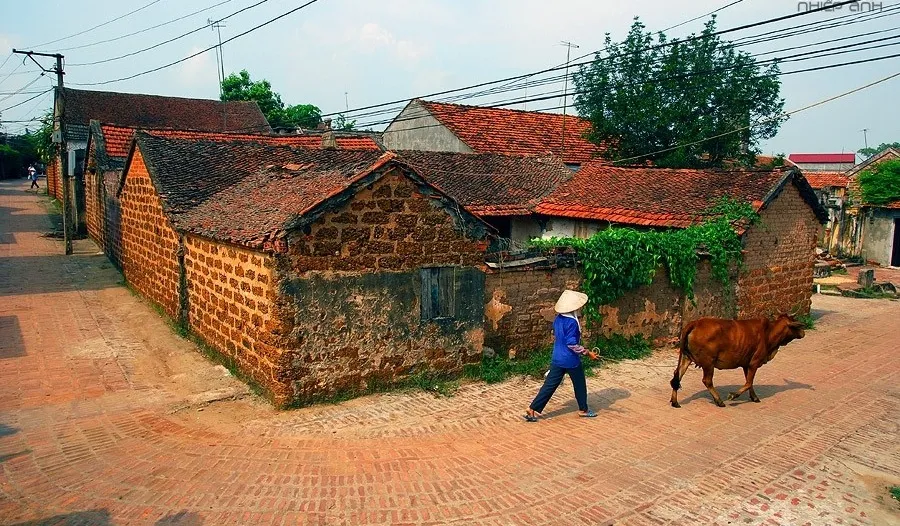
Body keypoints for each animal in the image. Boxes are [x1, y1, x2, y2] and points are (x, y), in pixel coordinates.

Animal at [668, 316, 808, 410]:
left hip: (686, 358)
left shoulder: (746, 364)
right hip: (709, 362)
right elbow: (749, 382)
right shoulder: (754, 362)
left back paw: (675, 402)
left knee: (677, 376)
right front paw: (733, 395)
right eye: (797, 326)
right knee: (706, 380)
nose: (803, 332)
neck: (769, 332)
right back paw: (719, 401)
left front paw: (754, 397)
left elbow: (749, 382)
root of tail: (695, 323)